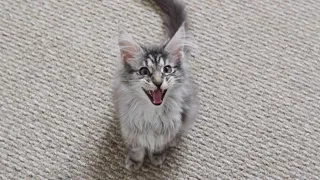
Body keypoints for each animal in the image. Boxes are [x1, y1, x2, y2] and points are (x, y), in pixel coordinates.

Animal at [112, 0, 198, 170]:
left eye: (167, 69)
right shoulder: (131, 129)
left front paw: (157, 156)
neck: (152, 112)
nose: (158, 82)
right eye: (144, 71)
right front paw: (135, 162)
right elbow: (137, 149)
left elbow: (159, 145)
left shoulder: (167, 128)